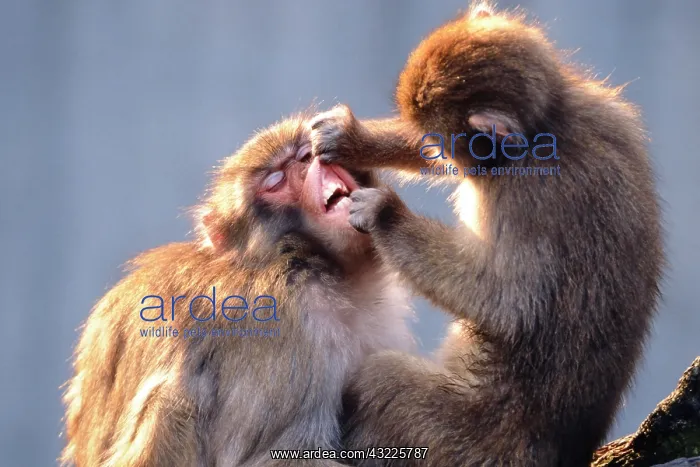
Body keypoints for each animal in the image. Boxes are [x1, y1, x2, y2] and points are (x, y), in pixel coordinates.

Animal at [309, 4, 664, 466]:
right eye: (431, 141)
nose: (436, 149)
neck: (546, 129)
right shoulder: (611, 116)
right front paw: (353, 139)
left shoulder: (529, 199)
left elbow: (509, 304)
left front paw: (384, 214)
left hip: (466, 443)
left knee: (381, 381)